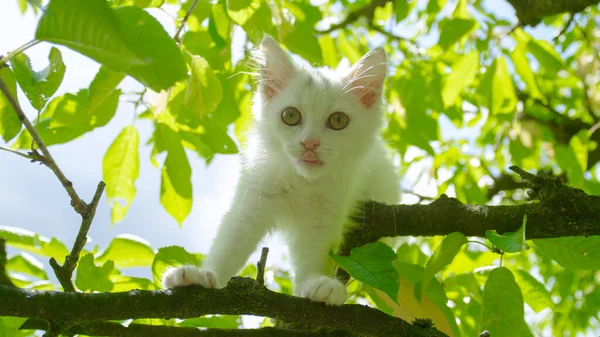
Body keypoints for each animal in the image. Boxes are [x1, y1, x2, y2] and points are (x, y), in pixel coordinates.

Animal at [162, 36, 400, 304]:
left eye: (338, 121)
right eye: (291, 116)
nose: (310, 143)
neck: (301, 181)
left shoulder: (326, 210)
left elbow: (314, 252)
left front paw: (318, 284)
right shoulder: (254, 195)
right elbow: (231, 242)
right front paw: (203, 275)